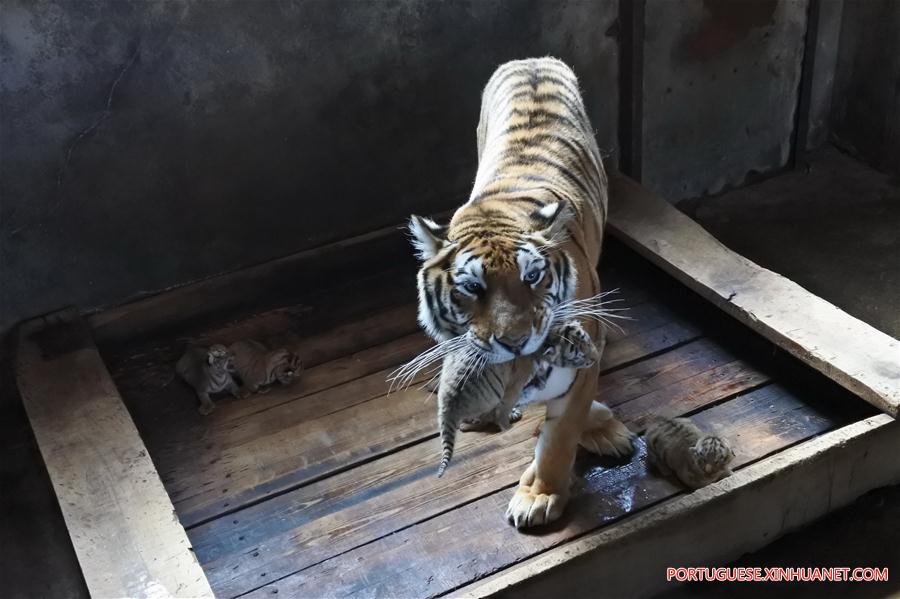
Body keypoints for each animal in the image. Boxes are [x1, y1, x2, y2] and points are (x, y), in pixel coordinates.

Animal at [408, 57, 634, 528]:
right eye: (471, 287)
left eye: (533, 277)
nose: (514, 342)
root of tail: (531, 60)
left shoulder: (580, 353)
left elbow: (559, 435)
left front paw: (540, 494)